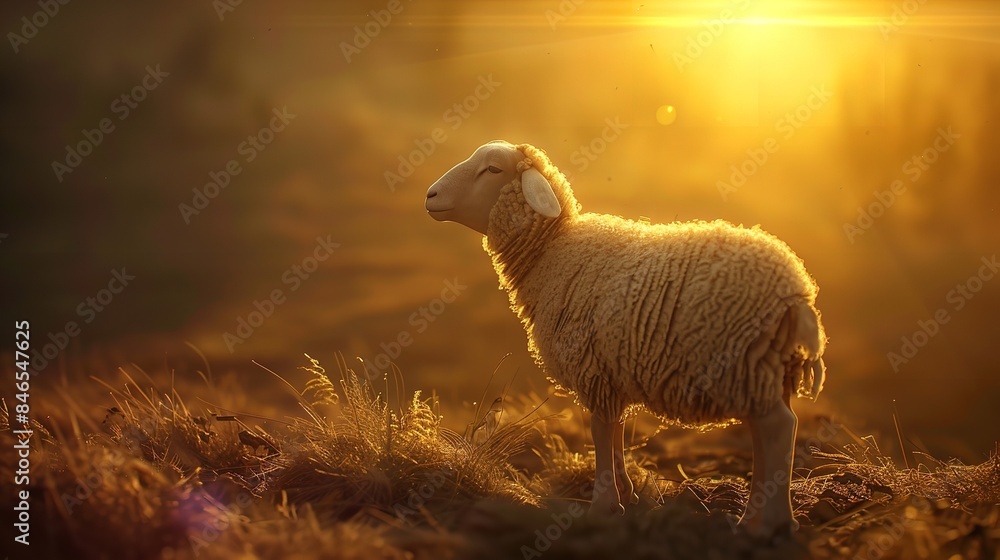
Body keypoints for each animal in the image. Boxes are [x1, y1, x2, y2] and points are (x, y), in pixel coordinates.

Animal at [424, 140, 827, 538]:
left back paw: (768, 523)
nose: (430, 195)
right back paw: (760, 515)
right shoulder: (610, 372)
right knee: (767, 432)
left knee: (780, 427)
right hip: (766, 371)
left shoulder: (592, 371)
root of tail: (797, 292)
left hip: (742, 361)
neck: (553, 253)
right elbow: (615, 431)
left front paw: (603, 506)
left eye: (492, 169)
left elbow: (600, 433)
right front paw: (627, 494)